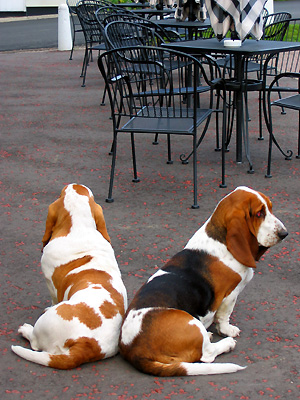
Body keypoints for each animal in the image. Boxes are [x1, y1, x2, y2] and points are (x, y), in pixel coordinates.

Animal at [11, 184, 126, 368]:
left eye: (60, 194)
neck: (80, 228)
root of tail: (87, 345)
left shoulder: (50, 282)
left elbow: (54, 297)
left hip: (46, 323)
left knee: (35, 342)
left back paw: (26, 330)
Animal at [119, 187, 288, 376]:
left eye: (271, 208)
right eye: (259, 213)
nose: (284, 233)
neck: (220, 240)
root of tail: (133, 351)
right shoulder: (231, 293)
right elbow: (224, 316)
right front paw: (227, 331)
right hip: (191, 322)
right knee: (207, 354)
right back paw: (225, 344)